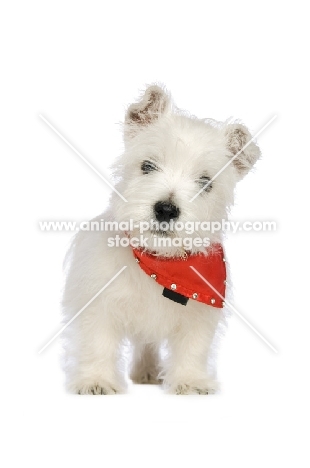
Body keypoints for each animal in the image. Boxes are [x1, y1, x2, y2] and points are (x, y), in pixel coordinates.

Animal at [61, 85, 260, 394]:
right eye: (147, 166)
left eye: (205, 183)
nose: (166, 209)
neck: (160, 264)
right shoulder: (98, 305)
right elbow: (98, 344)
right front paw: (96, 380)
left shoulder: (199, 315)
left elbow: (193, 348)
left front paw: (190, 381)